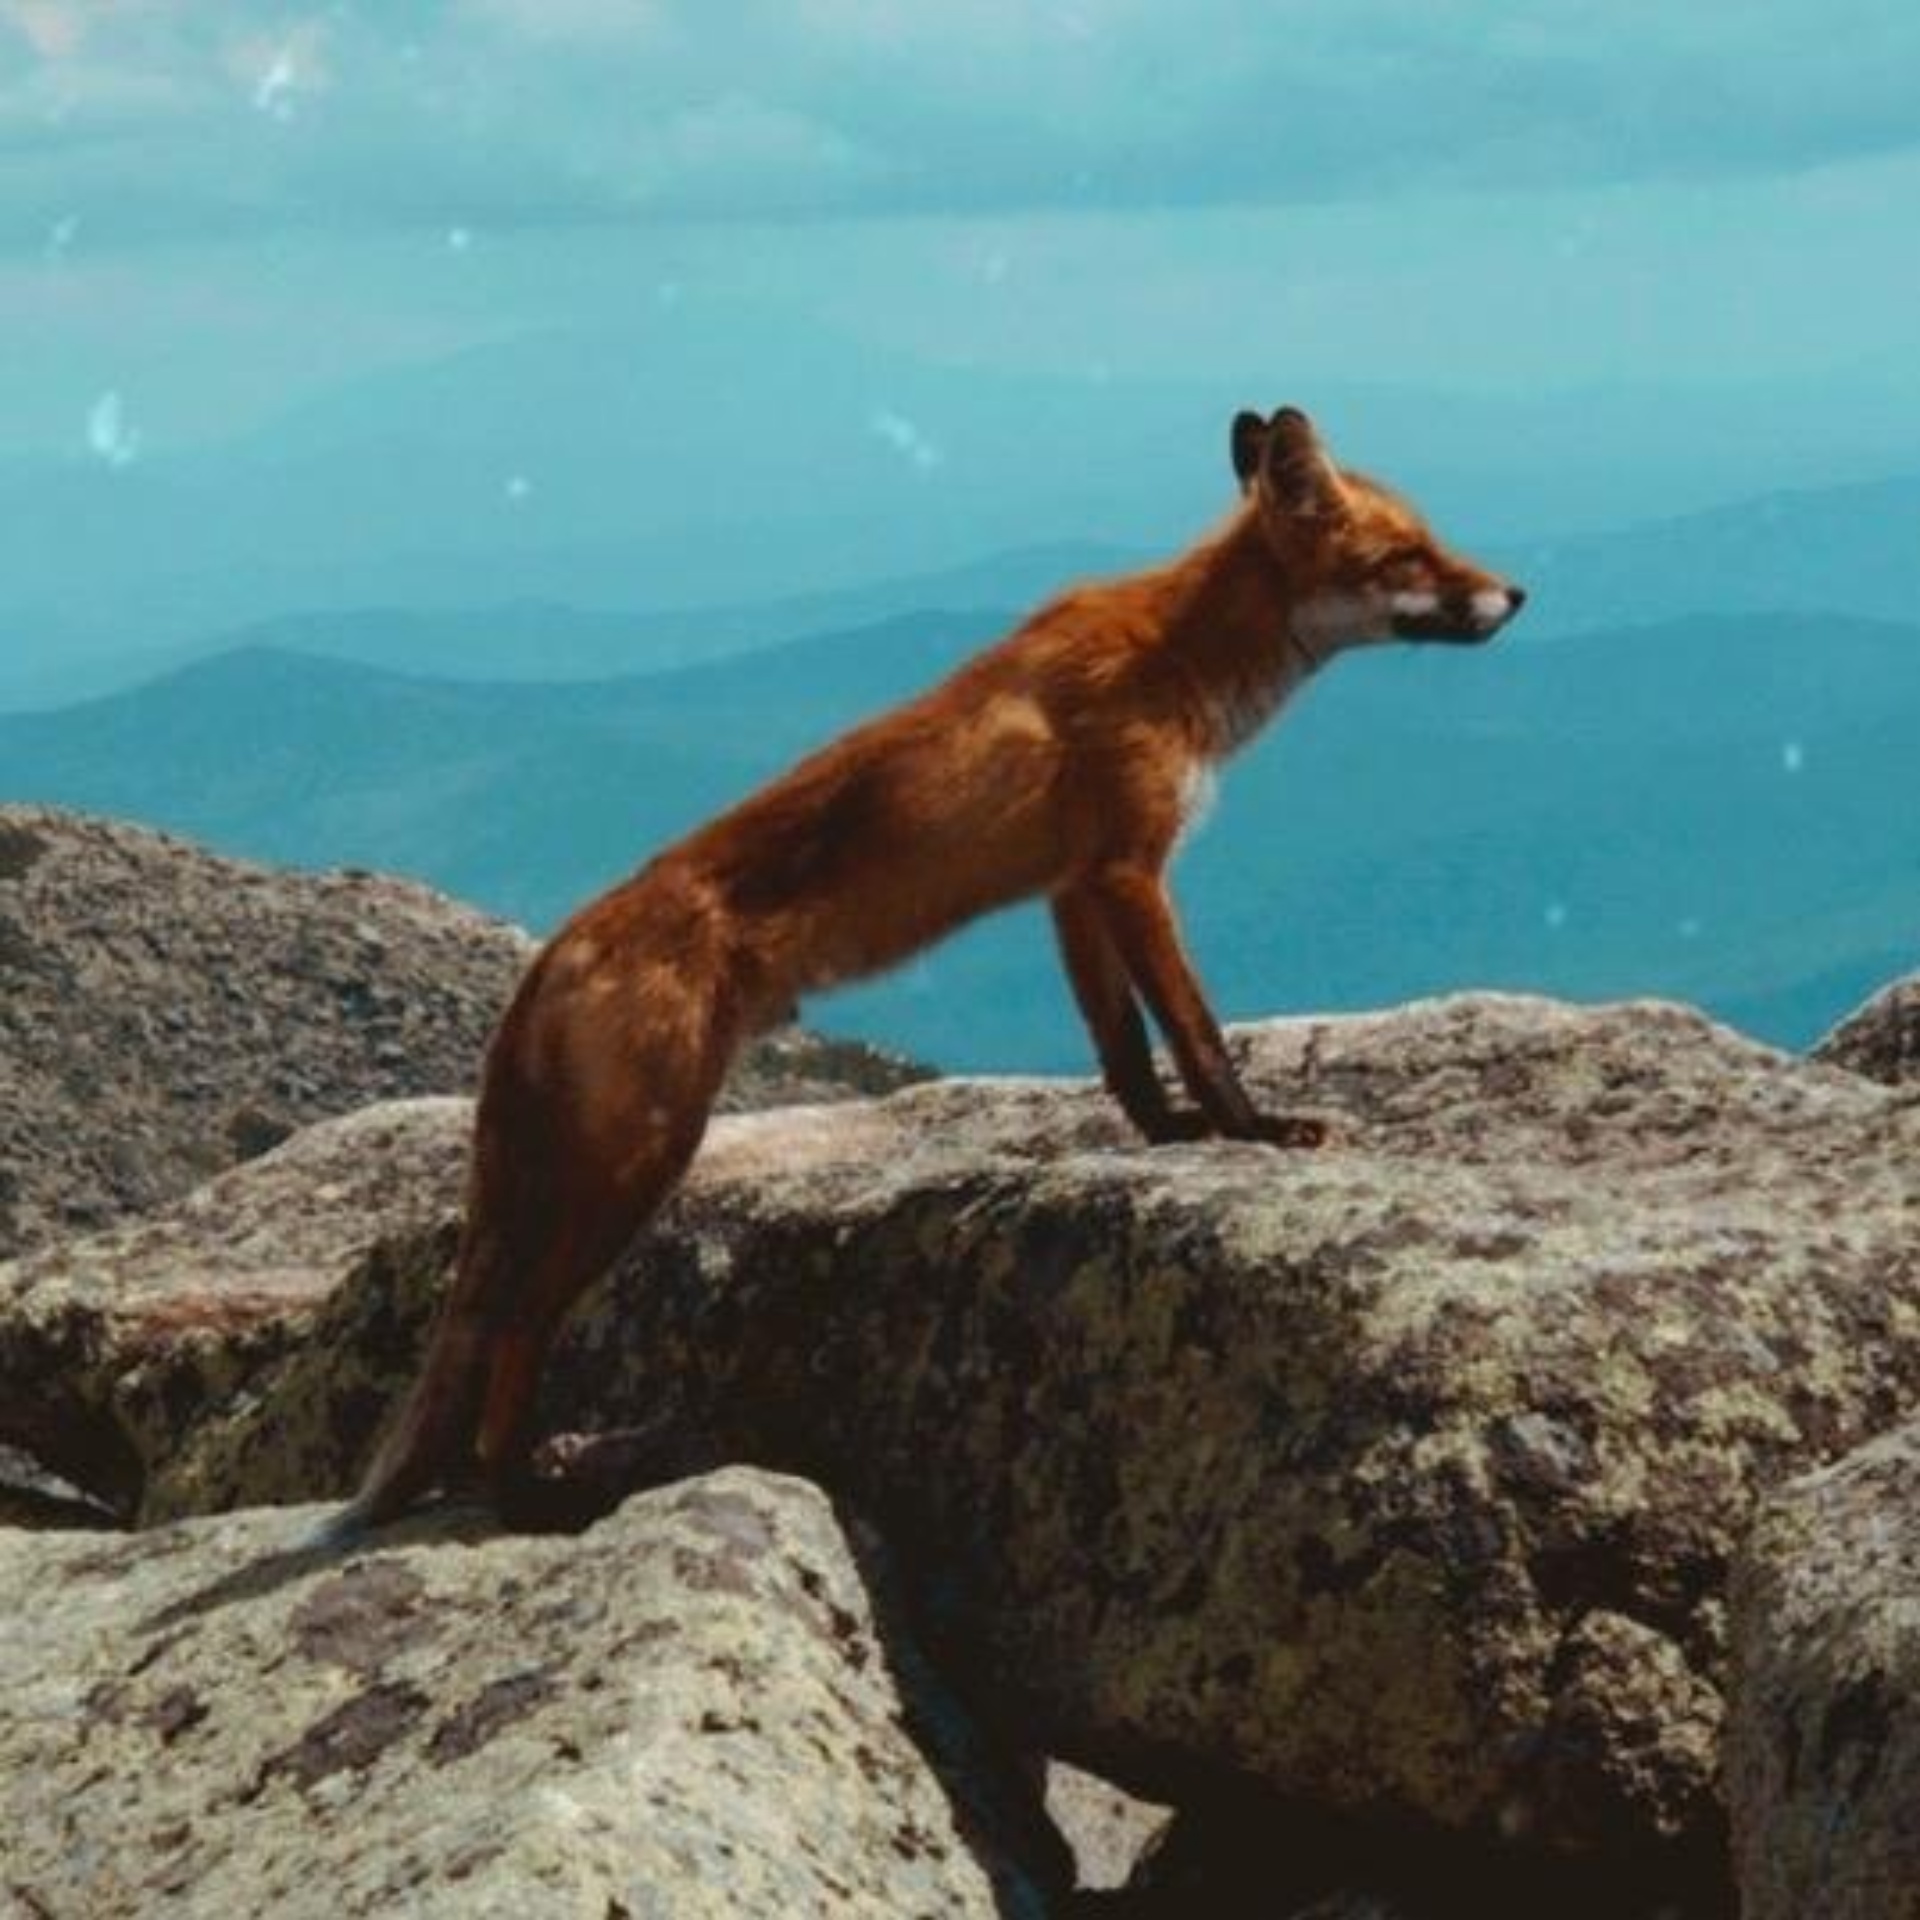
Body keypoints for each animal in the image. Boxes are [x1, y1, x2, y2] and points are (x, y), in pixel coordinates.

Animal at [334, 405, 1528, 1528]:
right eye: (1410, 555)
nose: (1515, 592)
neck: (1178, 653)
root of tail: (551, 954)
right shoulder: (1132, 870)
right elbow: (1194, 1028)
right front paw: (1254, 1129)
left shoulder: (1073, 890)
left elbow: (1123, 1051)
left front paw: (1168, 1136)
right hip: (638, 1166)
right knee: (516, 1332)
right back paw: (523, 1495)